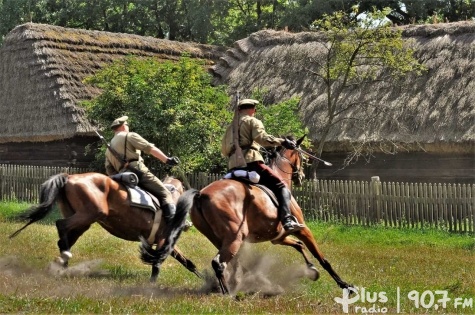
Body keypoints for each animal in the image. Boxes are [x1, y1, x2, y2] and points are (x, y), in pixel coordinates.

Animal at [9, 174, 200, 282]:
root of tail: (69, 176)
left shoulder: (167, 243)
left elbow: (187, 262)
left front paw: (203, 278)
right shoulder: (163, 240)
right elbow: (158, 263)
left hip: (83, 222)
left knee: (64, 239)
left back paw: (63, 265)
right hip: (90, 214)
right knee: (60, 226)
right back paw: (64, 260)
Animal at [143, 135, 356, 294]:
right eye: (301, 156)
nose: (301, 176)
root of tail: (201, 194)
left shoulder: (279, 237)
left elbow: (298, 246)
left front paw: (311, 270)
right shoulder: (302, 229)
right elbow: (321, 258)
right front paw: (345, 285)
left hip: (221, 239)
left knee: (231, 263)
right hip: (235, 237)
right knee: (219, 263)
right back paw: (229, 293)